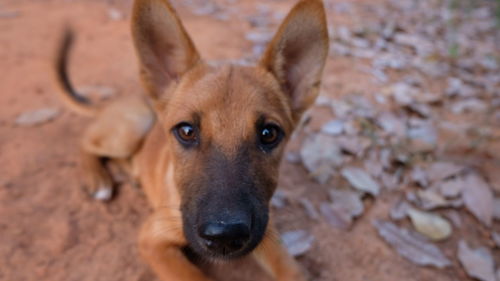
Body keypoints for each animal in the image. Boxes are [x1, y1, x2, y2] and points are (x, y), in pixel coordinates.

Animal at [55, 0, 328, 278]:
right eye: (186, 131)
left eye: (269, 134)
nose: (225, 237)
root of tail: (114, 103)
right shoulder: (153, 238)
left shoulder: (266, 228)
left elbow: (292, 270)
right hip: (135, 124)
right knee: (85, 141)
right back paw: (97, 179)